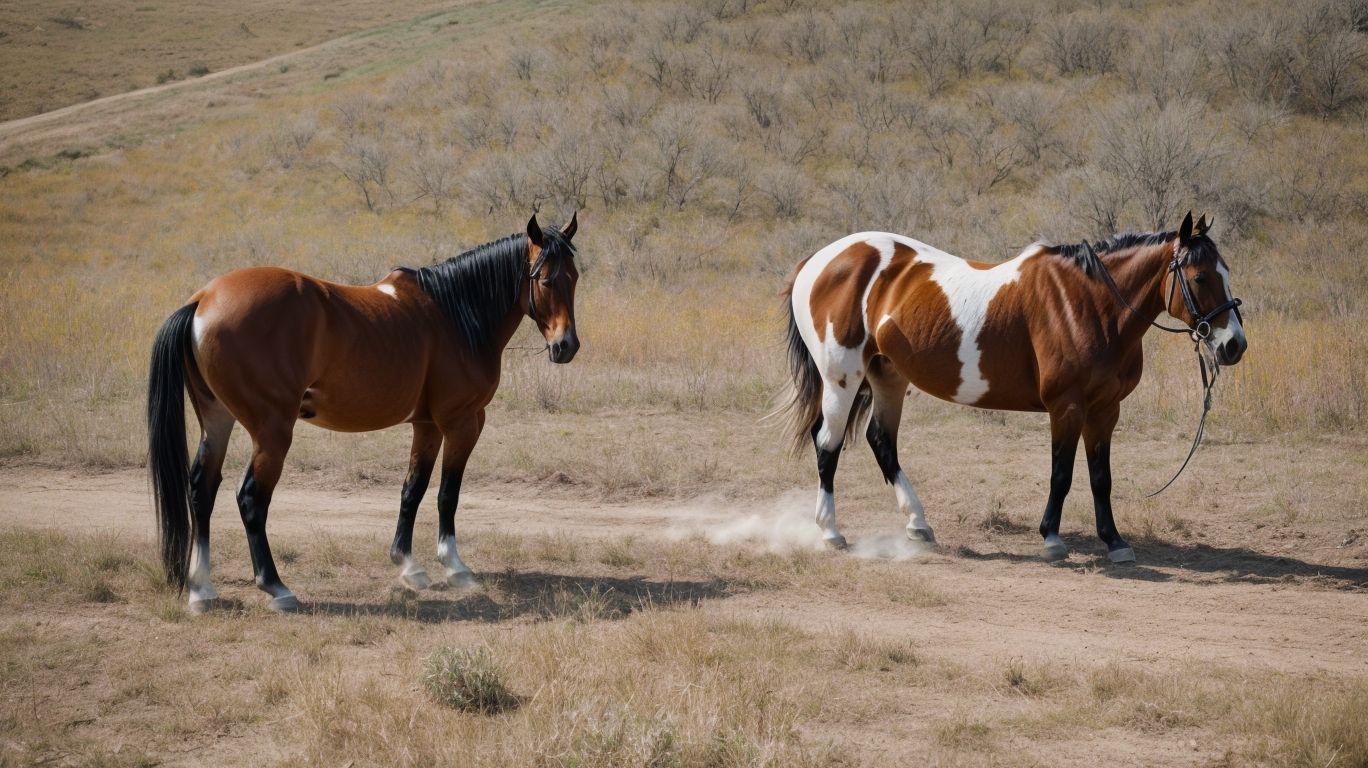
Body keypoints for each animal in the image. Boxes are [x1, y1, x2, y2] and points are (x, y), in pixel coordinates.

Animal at [147, 213, 580, 612]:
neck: (455, 314)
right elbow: (447, 494)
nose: (567, 347)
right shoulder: (462, 422)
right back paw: (276, 587)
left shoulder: (426, 425)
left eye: (574, 277)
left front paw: (408, 566)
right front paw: (455, 567)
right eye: (545, 281)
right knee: (251, 498)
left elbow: (413, 489)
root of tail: (202, 301)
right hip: (272, 432)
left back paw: (202, 589)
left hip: (217, 420)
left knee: (202, 489)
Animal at [780, 212, 1245, 562]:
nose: (1234, 345)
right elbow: (1062, 473)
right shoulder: (1067, 407)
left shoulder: (1104, 410)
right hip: (841, 379)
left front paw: (1114, 541)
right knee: (827, 446)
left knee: (882, 442)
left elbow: (1101, 478)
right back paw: (831, 532)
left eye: (1225, 272)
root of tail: (819, 261)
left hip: (888, 376)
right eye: (1200, 277)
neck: (1088, 305)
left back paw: (918, 524)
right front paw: (1052, 538)